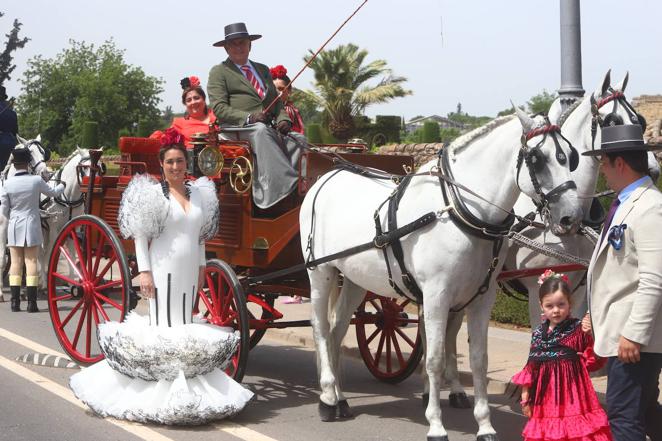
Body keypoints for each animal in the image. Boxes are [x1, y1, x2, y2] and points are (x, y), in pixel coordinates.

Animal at [0, 136, 52, 300]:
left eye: (43, 153)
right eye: (30, 154)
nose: (46, 174)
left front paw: (23, 289)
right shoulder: (3, 228)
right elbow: (2, 259)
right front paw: (0, 292)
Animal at [304, 107, 584, 440]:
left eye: (570, 156)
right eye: (537, 158)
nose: (570, 217)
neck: (460, 211)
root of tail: (327, 177)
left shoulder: (481, 298)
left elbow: (478, 360)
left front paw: (485, 425)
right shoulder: (437, 295)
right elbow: (435, 358)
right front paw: (436, 424)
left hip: (355, 280)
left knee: (336, 332)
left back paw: (340, 397)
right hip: (321, 272)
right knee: (320, 328)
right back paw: (326, 398)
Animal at [440, 71, 662, 406]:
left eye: (641, 120)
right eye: (612, 121)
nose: (652, 169)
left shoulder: (579, 287)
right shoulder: (537, 289)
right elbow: (538, 331)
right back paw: (449, 386)